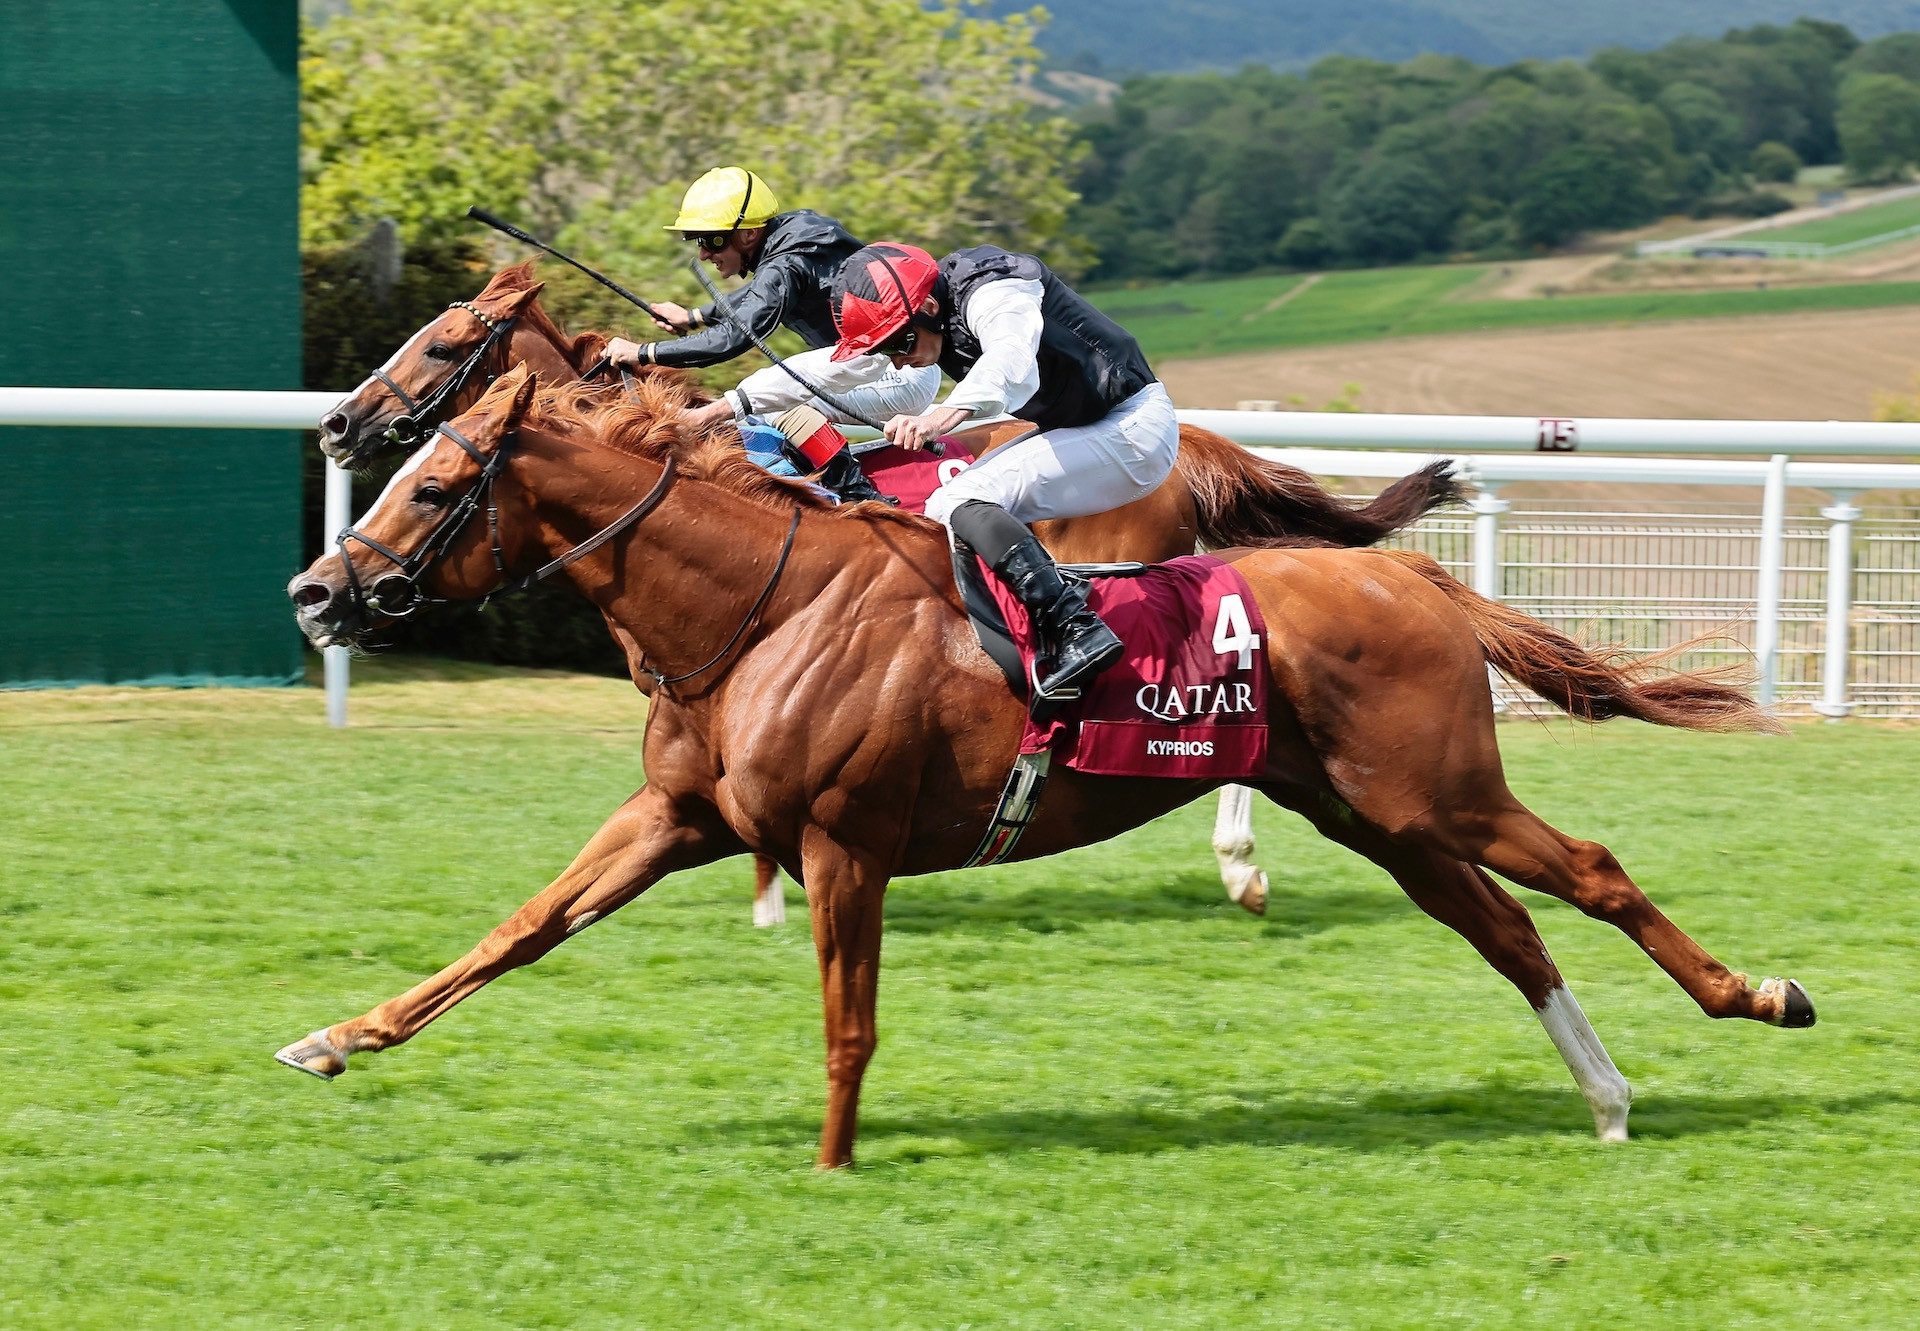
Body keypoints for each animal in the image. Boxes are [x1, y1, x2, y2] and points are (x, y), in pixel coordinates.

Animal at [278, 370, 1804, 1160]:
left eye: (432, 484)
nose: (314, 591)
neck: (760, 607)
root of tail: (1417, 579)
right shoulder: (675, 814)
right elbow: (517, 930)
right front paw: (336, 1036)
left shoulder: (845, 843)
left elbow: (847, 1021)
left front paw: (834, 1159)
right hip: (1381, 818)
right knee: (1506, 932)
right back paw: (1606, 1096)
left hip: (1439, 793)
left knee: (1591, 873)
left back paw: (1759, 995)